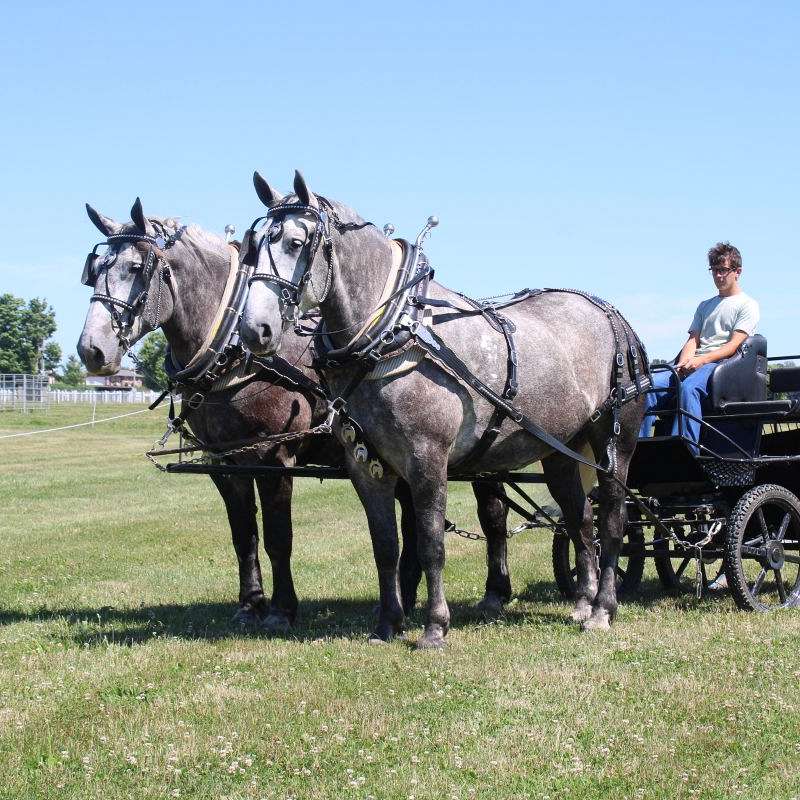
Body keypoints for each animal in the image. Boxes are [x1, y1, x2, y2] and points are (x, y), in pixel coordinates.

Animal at [76, 198, 512, 632]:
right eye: (95, 270)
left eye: (136, 267)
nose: (91, 350)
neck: (233, 350)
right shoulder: (224, 462)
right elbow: (244, 537)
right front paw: (250, 605)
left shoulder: (274, 458)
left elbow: (277, 538)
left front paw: (281, 610)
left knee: (492, 514)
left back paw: (494, 592)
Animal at [241, 172, 648, 648]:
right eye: (251, 245)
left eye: (295, 242)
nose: (255, 329)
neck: (389, 333)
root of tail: (612, 315)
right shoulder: (366, 466)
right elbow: (386, 546)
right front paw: (387, 624)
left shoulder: (427, 458)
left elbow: (431, 543)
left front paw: (435, 627)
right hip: (561, 449)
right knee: (580, 521)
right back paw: (583, 603)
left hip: (615, 443)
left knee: (613, 521)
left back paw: (603, 608)